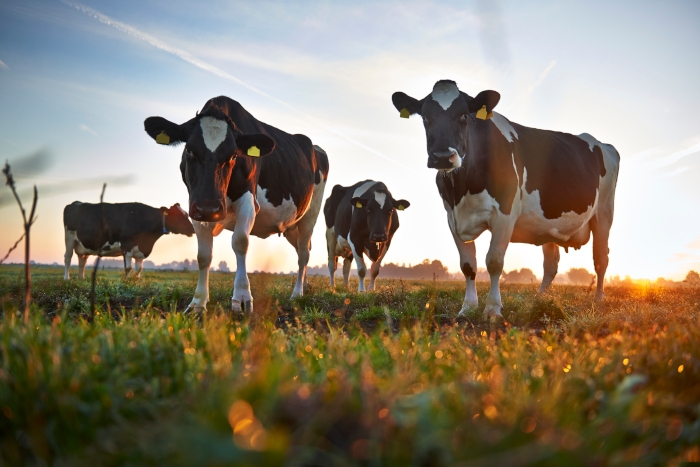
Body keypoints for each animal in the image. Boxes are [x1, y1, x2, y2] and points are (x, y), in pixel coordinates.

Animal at [63, 202, 194, 282]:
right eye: (179, 216)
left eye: (187, 214)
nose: (193, 229)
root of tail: (76, 203)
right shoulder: (127, 247)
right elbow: (128, 268)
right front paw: (127, 281)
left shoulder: (141, 249)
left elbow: (138, 269)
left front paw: (137, 280)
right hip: (69, 238)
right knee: (68, 258)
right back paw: (66, 278)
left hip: (82, 246)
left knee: (82, 260)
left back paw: (81, 278)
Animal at [144, 96, 330, 312]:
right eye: (189, 150)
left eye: (234, 155)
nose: (210, 209)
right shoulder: (195, 206)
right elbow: (203, 255)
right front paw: (198, 303)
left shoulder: (247, 200)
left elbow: (240, 242)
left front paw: (242, 298)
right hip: (291, 225)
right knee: (303, 247)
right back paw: (306, 287)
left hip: (311, 212)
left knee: (303, 253)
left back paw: (297, 293)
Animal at [394, 82, 616, 320]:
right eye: (425, 117)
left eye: (464, 115)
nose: (443, 157)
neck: (463, 188)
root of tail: (601, 143)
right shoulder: (452, 218)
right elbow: (467, 265)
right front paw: (467, 307)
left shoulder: (504, 215)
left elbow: (494, 261)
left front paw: (493, 309)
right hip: (549, 224)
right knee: (551, 264)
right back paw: (540, 298)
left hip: (604, 213)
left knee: (601, 258)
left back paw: (599, 299)